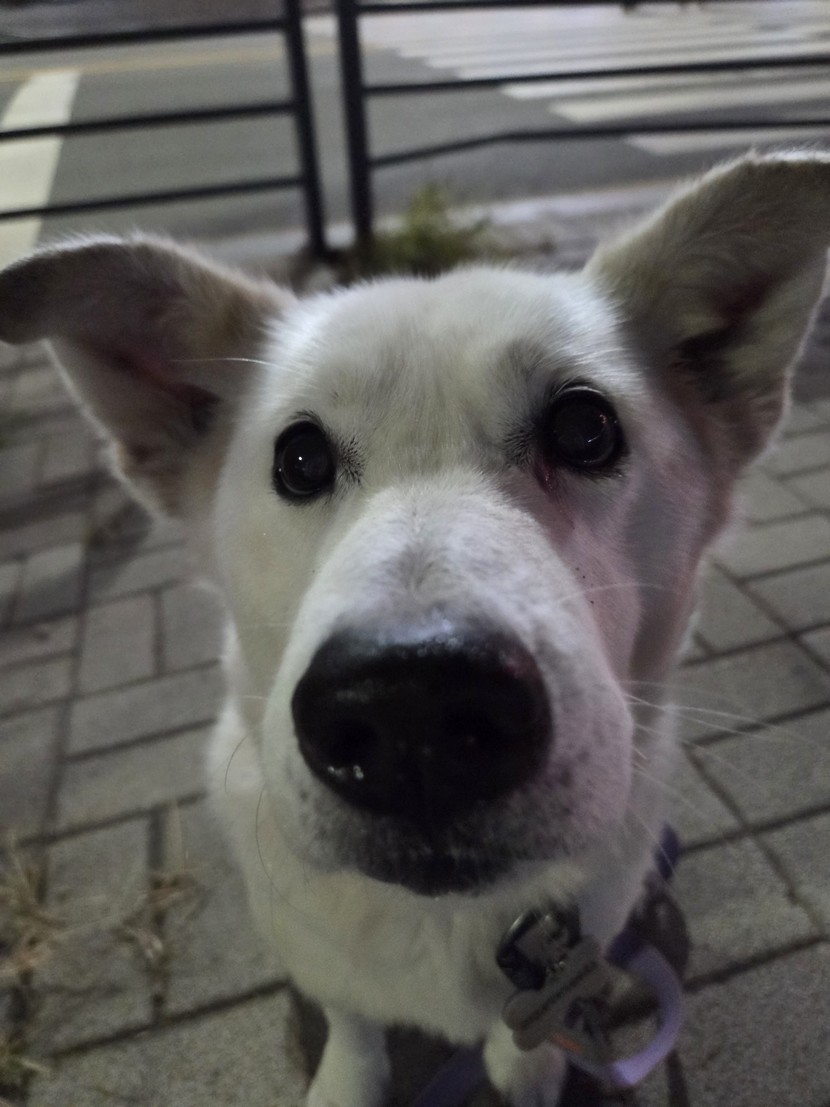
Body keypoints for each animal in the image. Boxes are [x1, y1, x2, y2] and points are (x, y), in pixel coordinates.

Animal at [1, 152, 828, 1106]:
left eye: (586, 428)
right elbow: (354, 1019)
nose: (413, 707)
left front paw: (525, 1065)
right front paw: (346, 1080)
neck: (449, 920)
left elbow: (520, 1031)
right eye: (299, 458)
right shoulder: (316, 954)